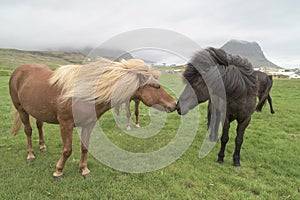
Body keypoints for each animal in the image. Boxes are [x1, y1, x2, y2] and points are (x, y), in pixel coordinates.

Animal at [9, 58, 176, 178]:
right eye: (156, 87)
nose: (174, 105)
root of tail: (19, 70)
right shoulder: (65, 124)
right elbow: (67, 150)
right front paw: (58, 170)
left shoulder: (89, 124)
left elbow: (84, 147)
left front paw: (84, 169)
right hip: (21, 109)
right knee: (28, 130)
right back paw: (31, 154)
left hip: (36, 111)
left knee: (39, 125)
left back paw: (43, 146)